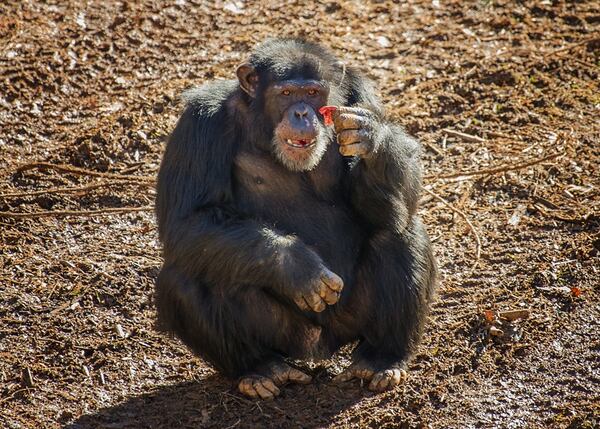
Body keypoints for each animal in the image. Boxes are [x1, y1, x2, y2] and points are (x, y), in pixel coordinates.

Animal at [155, 38, 436, 400]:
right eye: (287, 93)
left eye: (314, 93)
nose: (302, 112)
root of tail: (320, 347)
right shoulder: (199, 123)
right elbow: (188, 219)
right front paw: (297, 266)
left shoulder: (364, 97)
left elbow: (400, 201)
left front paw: (370, 136)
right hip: (286, 334)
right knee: (187, 275)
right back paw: (260, 368)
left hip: (352, 320)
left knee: (398, 233)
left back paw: (381, 358)